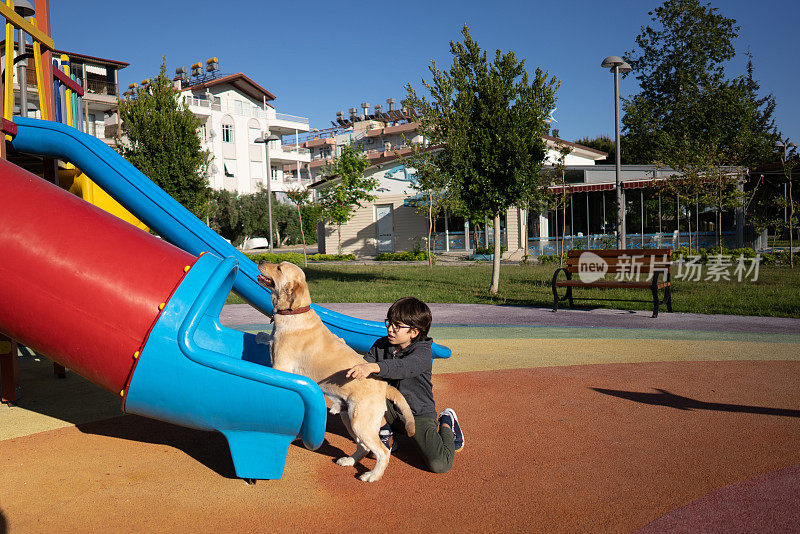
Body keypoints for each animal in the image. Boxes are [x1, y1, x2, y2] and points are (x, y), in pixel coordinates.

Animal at [258, 262, 418, 484]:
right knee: (363, 446)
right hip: (349, 418)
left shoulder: (281, 366)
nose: (261, 261)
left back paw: (372, 475)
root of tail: (383, 385)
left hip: (361, 422)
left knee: (382, 452)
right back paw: (349, 461)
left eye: (280, 268)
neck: (294, 312)